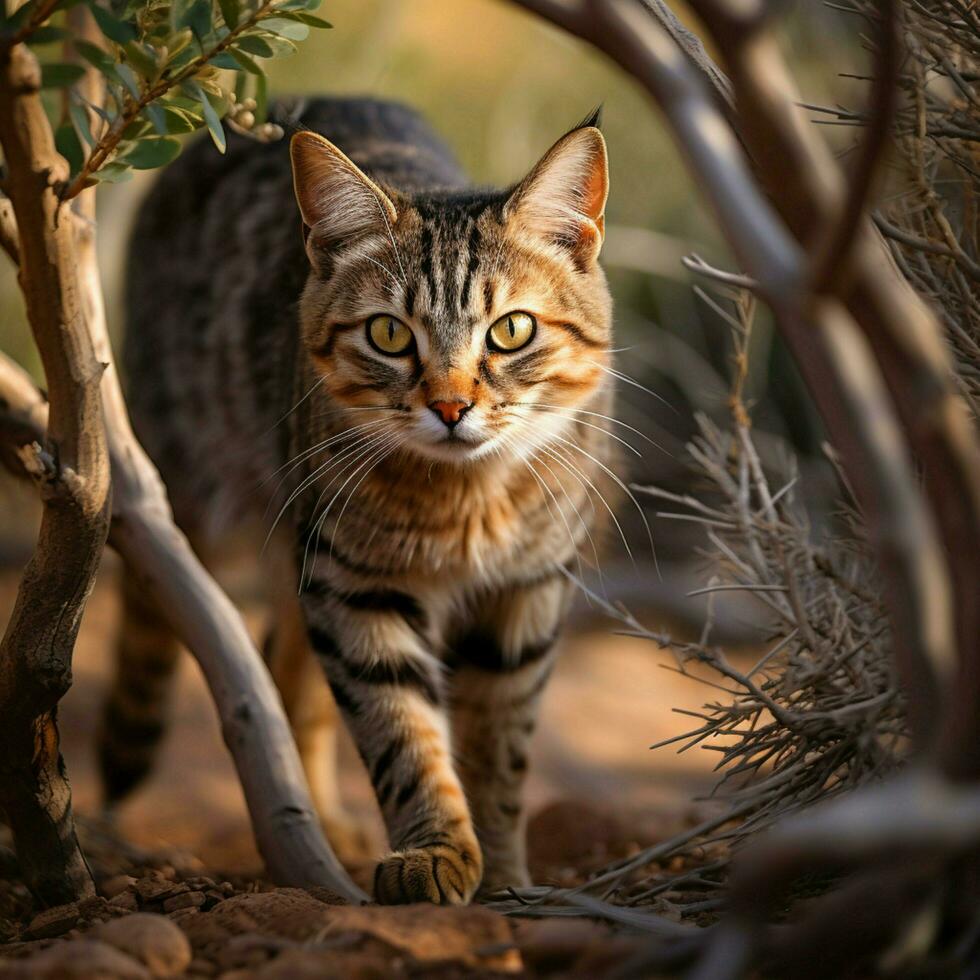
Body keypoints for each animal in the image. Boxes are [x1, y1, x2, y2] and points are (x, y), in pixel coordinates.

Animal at [101, 99, 620, 904]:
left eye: (512, 330)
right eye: (388, 334)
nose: (449, 407)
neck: (469, 501)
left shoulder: (529, 590)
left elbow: (499, 748)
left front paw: (503, 872)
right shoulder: (355, 586)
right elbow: (402, 734)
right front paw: (436, 850)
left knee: (283, 665)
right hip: (206, 489)